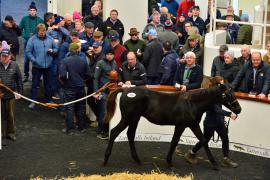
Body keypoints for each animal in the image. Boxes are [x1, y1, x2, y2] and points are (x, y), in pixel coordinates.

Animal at [103, 82, 240, 169]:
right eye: (227, 94)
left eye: (234, 92)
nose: (238, 109)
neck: (192, 103)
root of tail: (125, 90)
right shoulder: (181, 125)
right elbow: (175, 142)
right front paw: (169, 162)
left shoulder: (193, 125)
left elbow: (202, 140)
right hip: (128, 118)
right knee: (114, 132)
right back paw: (105, 160)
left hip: (134, 119)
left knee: (130, 134)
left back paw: (138, 160)